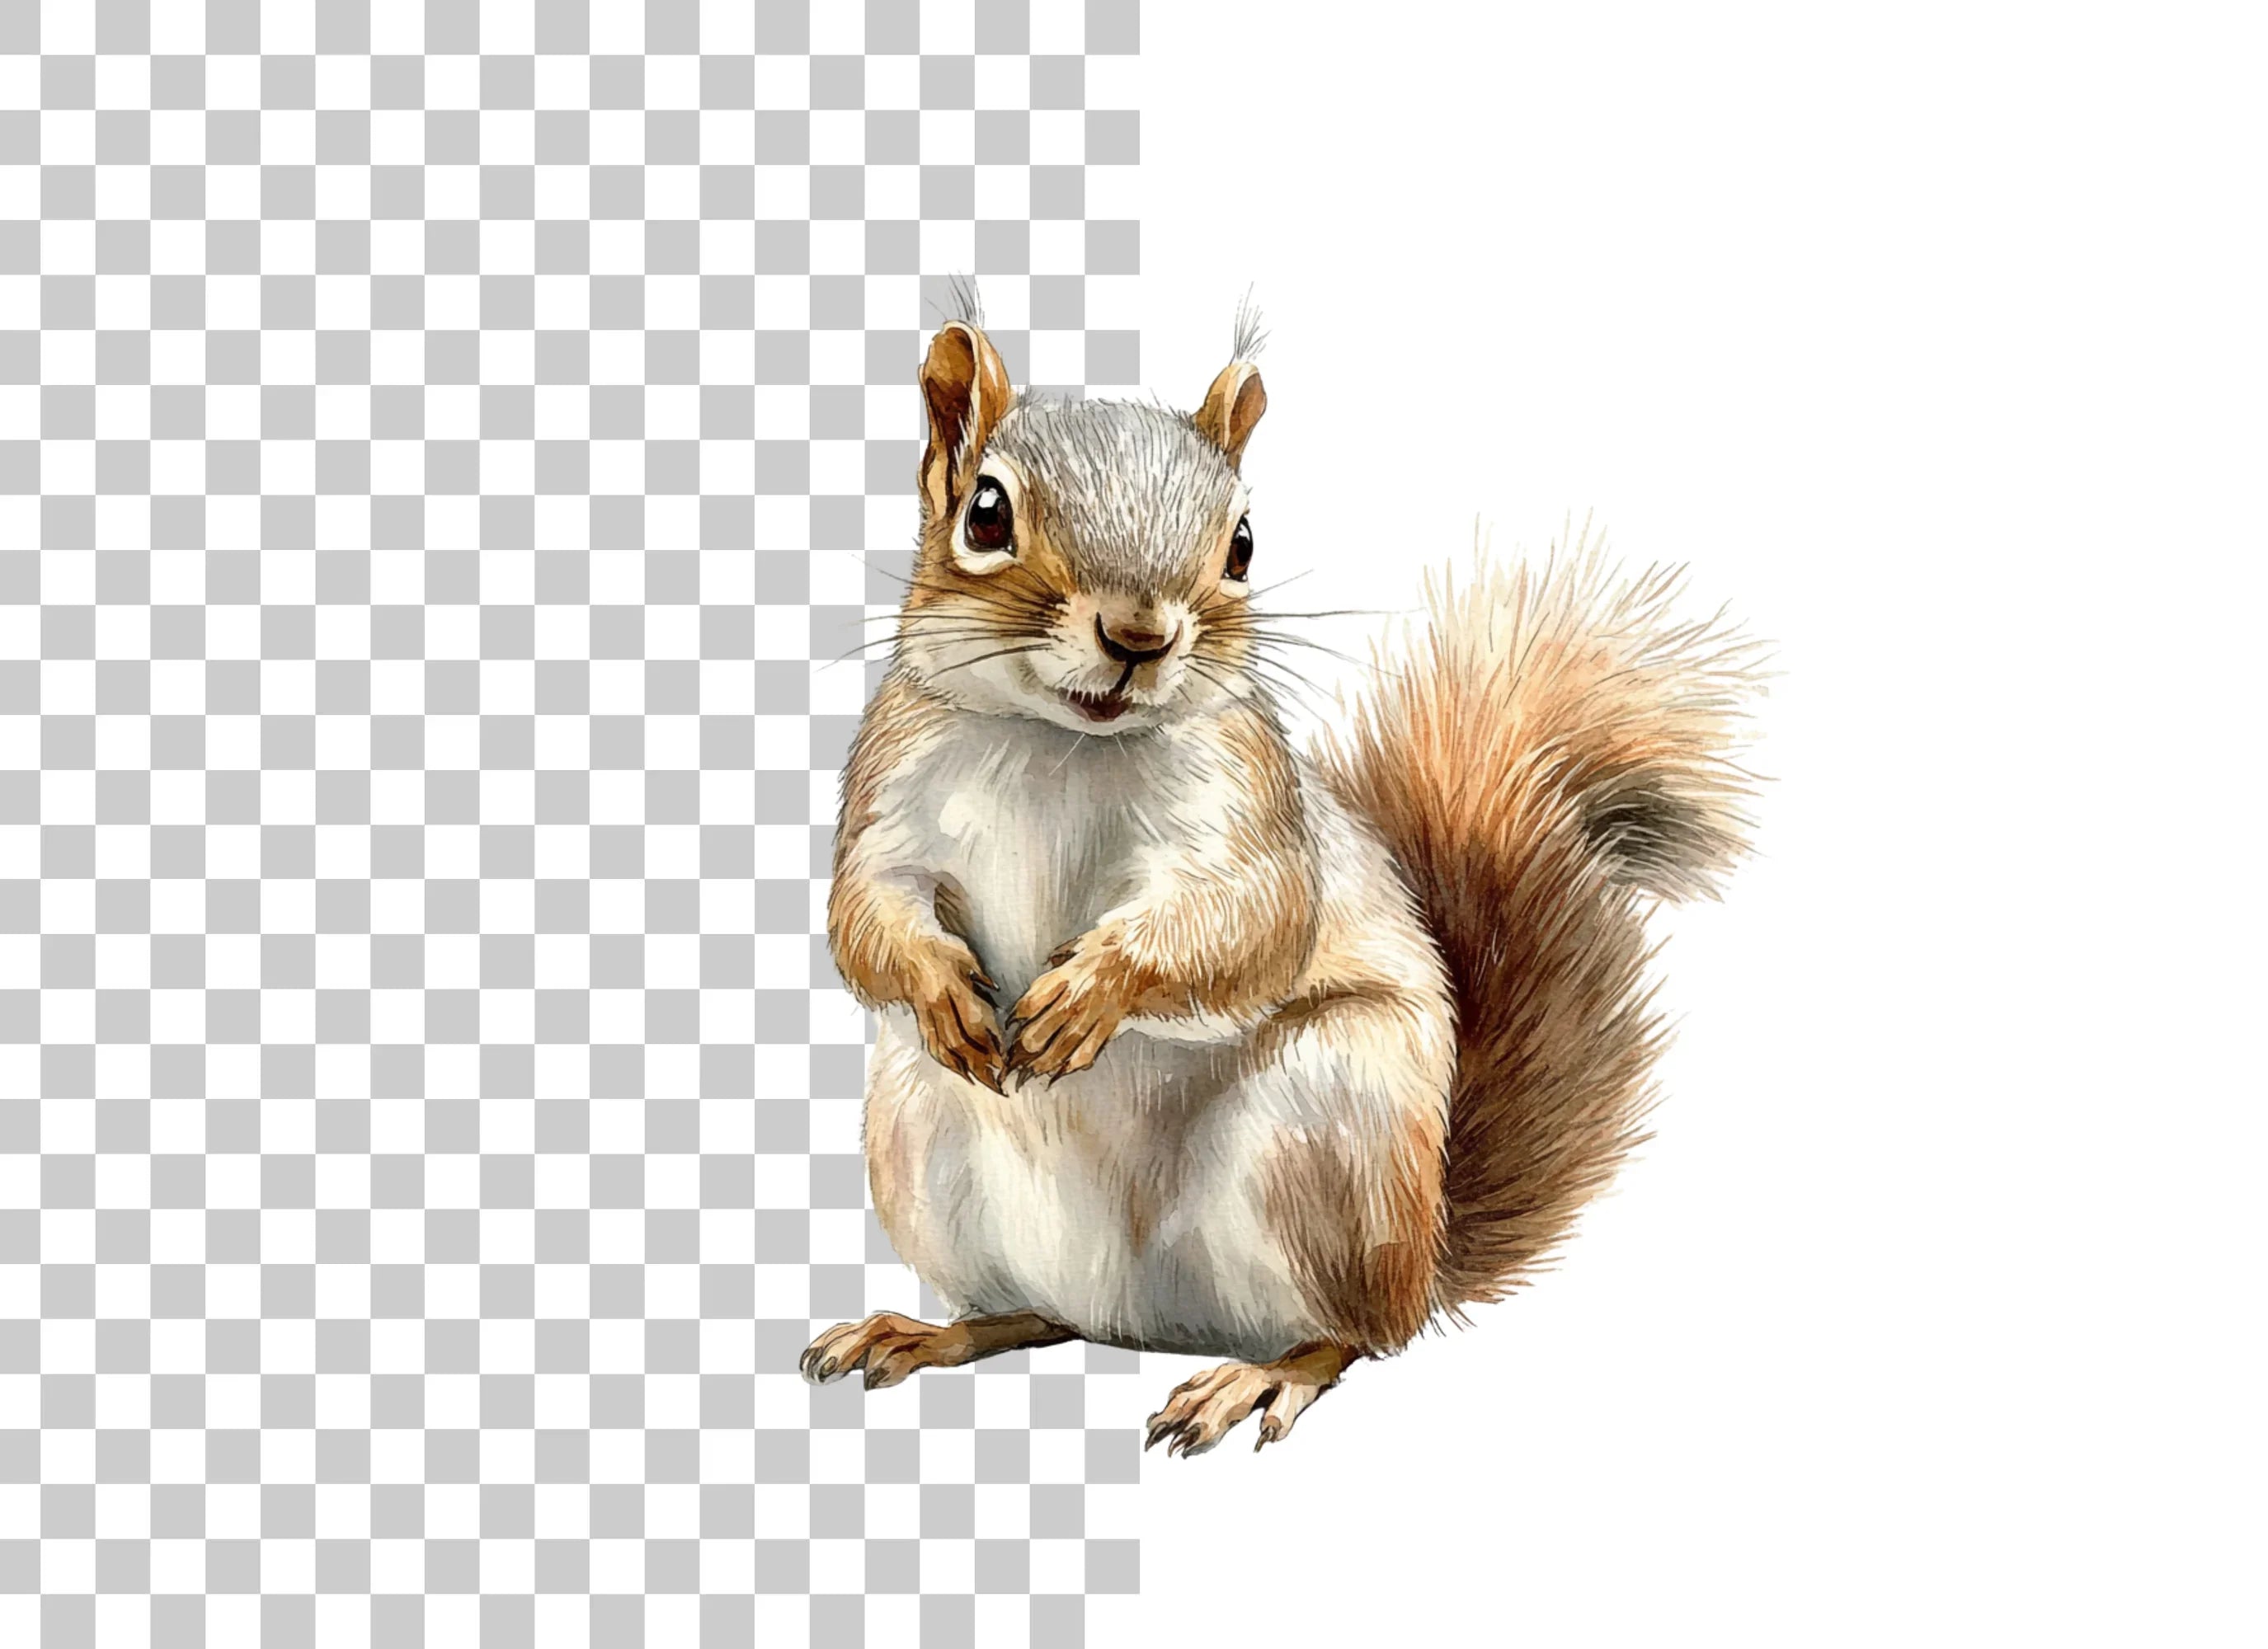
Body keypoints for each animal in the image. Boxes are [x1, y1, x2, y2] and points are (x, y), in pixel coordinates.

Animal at [802, 304, 1764, 1455]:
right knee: (1028, 1312)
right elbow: (864, 912)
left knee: (1352, 1334)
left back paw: (1260, 1376)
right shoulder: (889, 792)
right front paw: (941, 989)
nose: (1138, 636)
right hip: (917, 1141)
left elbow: (1253, 920)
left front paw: (1091, 991)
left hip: (1325, 1135)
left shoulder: (1252, 809)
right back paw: (927, 1330)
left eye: (1243, 544)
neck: (1067, 741)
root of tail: (1135, 1319)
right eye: (984, 515)